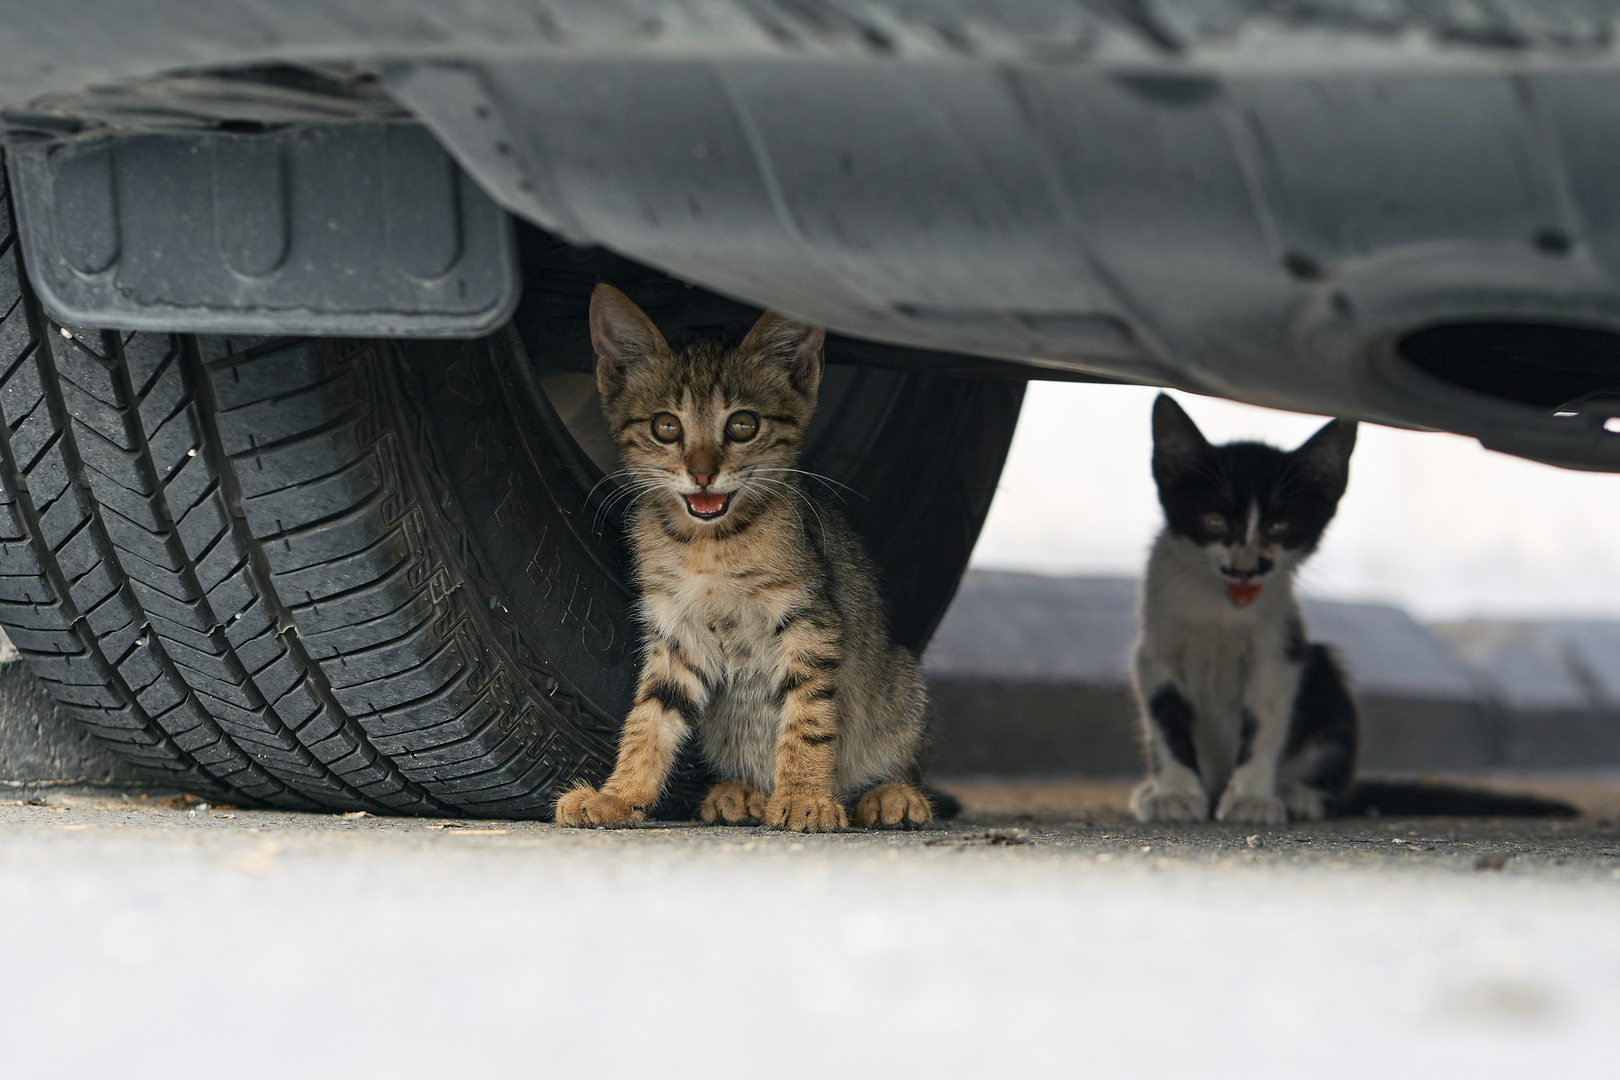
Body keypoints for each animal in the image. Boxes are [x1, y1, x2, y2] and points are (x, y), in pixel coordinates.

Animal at [557, 283, 939, 835]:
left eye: (742, 424)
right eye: (666, 427)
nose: (701, 475)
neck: (708, 545)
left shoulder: (810, 619)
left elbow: (807, 717)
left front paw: (803, 796)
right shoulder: (677, 630)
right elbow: (649, 718)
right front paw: (618, 796)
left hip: (900, 683)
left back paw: (891, 793)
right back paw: (742, 790)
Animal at [1134, 396, 1360, 829]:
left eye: (1280, 526)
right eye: (1214, 521)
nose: (1245, 568)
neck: (1221, 611)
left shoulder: (1281, 653)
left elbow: (1265, 724)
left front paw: (1252, 797)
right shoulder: (1153, 655)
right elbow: (1166, 721)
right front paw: (1174, 793)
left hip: (1324, 676)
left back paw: (1297, 794)